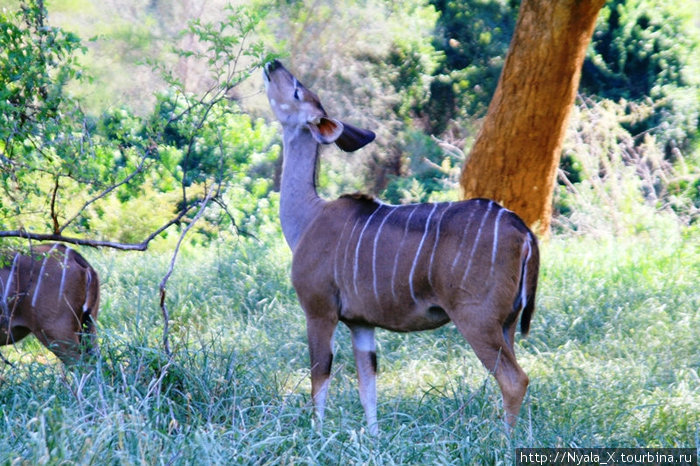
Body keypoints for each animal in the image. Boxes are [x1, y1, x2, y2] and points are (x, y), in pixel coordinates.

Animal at [266, 60, 540, 436]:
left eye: (296, 90)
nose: (273, 63)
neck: (309, 217)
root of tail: (522, 229)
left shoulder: (319, 310)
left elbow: (319, 377)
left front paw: (316, 434)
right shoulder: (361, 323)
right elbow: (368, 385)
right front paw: (372, 437)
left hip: (477, 319)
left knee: (515, 379)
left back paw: (503, 441)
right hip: (507, 324)